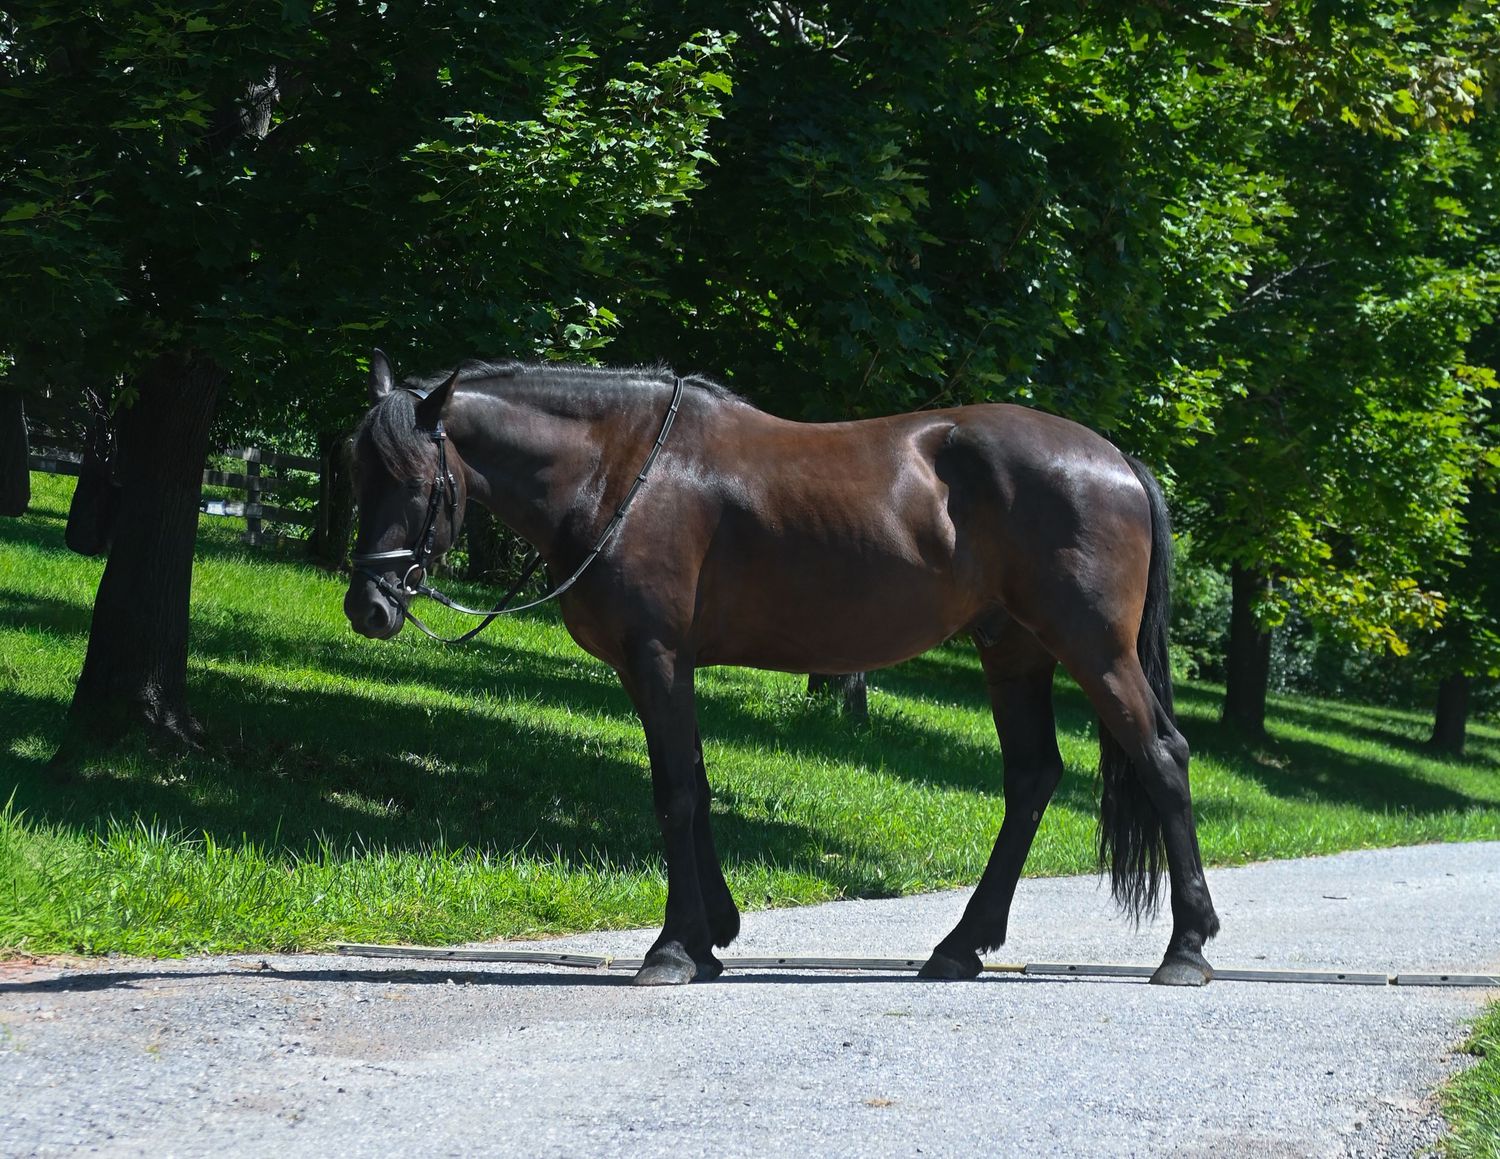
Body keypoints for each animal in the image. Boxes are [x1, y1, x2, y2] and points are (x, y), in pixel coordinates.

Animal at [343, 350, 1220, 987]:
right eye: (357, 473)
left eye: (417, 482)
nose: (368, 605)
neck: (622, 470)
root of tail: (1115, 458)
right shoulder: (659, 668)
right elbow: (693, 785)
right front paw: (710, 936)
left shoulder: (658, 657)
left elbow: (675, 793)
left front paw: (672, 947)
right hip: (1013, 651)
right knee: (1032, 777)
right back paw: (960, 945)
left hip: (1094, 651)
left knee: (1162, 758)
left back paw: (1187, 947)